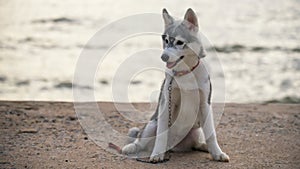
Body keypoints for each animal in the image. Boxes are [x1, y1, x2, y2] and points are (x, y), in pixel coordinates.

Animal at [113, 8, 229, 164]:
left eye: (180, 42)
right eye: (166, 40)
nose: (164, 57)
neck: (185, 72)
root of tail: (174, 146)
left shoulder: (205, 104)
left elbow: (211, 134)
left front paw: (217, 153)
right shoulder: (166, 102)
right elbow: (162, 135)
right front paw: (157, 154)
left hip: (196, 130)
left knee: (196, 144)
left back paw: (204, 146)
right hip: (152, 125)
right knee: (141, 140)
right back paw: (131, 147)